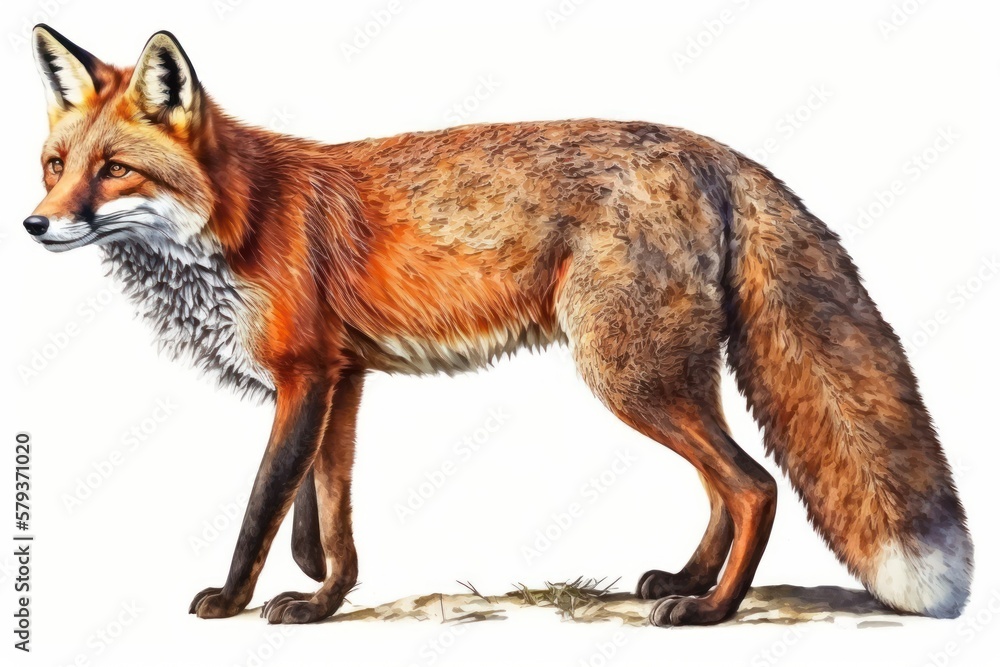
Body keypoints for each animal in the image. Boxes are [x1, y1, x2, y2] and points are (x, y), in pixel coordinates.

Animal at [24, 24, 972, 626]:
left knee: (756, 485)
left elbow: (262, 501)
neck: (239, 218)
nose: (35, 226)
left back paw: (710, 609)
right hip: (665, 375)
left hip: (627, 376)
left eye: (115, 171)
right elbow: (326, 510)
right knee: (725, 487)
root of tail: (715, 151)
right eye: (55, 165)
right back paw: (688, 579)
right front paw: (322, 592)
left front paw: (234, 601)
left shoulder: (305, 375)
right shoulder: (343, 378)